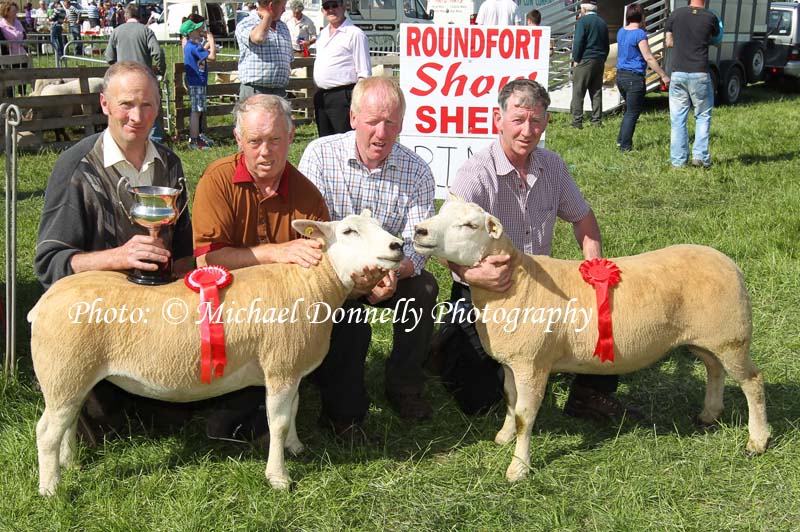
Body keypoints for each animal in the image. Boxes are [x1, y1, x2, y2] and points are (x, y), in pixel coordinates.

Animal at [29, 211, 406, 494]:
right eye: (348, 231)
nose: (397, 245)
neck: (310, 284)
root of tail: (44, 302)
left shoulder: (289, 367)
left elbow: (294, 410)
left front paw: (295, 448)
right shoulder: (281, 366)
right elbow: (279, 421)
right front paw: (278, 477)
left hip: (72, 375)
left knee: (67, 422)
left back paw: (69, 464)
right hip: (63, 370)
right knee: (46, 431)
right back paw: (51, 489)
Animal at [412, 197, 768, 484]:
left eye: (470, 225)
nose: (419, 231)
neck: (517, 282)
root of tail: (729, 262)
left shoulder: (533, 363)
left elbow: (526, 416)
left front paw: (518, 469)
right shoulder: (515, 363)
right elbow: (511, 402)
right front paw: (504, 436)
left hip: (731, 336)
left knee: (753, 382)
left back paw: (757, 441)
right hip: (706, 339)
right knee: (714, 370)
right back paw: (710, 414)